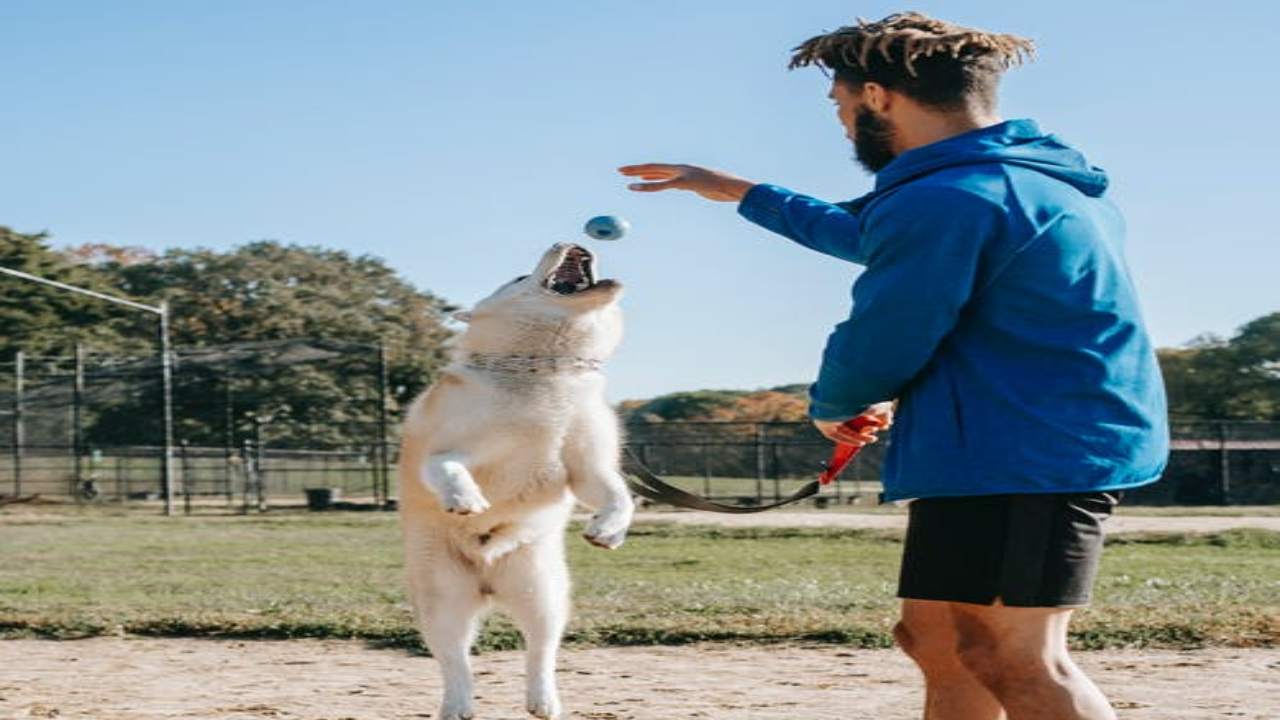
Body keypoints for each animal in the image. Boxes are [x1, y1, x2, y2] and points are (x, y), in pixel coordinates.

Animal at [399, 242, 634, 717]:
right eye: (520, 276)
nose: (569, 240)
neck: (545, 372)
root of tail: (487, 580)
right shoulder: (442, 452)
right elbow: (448, 468)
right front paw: (465, 498)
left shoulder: (588, 469)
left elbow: (620, 496)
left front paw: (609, 530)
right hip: (442, 599)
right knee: (454, 660)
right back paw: (458, 704)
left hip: (541, 594)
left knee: (540, 649)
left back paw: (543, 699)